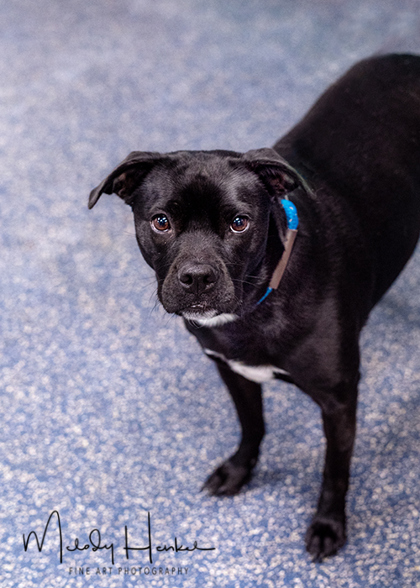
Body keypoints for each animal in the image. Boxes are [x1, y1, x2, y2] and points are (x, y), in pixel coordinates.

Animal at [88, 55, 420, 560]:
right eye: (161, 222)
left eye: (240, 223)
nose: (197, 278)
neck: (257, 305)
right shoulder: (232, 369)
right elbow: (252, 426)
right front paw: (239, 471)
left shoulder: (339, 399)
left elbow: (334, 471)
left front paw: (329, 525)